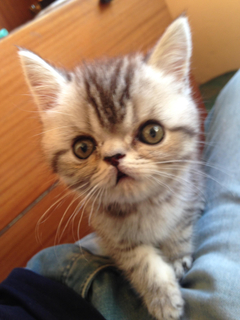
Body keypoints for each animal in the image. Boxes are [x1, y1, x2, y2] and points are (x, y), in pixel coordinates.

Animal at [18, 16, 202, 320]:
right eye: (82, 148)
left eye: (153, 132)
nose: (115, 157)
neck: (143, 207)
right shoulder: (111, 234)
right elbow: (140, 263)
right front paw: (162, 299)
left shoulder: (187, 194)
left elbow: (179, 230)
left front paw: (176, 258)